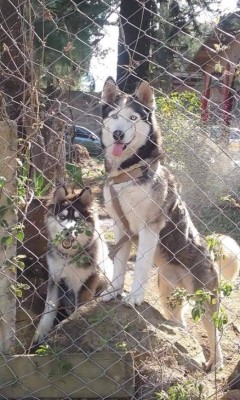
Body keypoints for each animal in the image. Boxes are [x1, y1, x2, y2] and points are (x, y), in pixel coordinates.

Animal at [33, 186, 114, 346]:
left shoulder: (87, 281)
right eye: (62, 217)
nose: (68, 232)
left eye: (77, 219)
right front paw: (41, 331)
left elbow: (80, 309)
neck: (69, 257)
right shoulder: (55, 277)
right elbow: (49, 307)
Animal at [99, 78, 240, 372]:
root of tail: (209, 250)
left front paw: (134, 297)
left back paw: (217, 363)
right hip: (168, 296)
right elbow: (119, 263)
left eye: (133, 118)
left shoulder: (148, 227)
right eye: (114, 116)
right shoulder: (120, 226)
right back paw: (179, 335)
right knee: (179, 322)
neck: (129, 172)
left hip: (206, 300)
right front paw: (114, 291)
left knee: (215, 332)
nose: (118, 134)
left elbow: (140, 265)